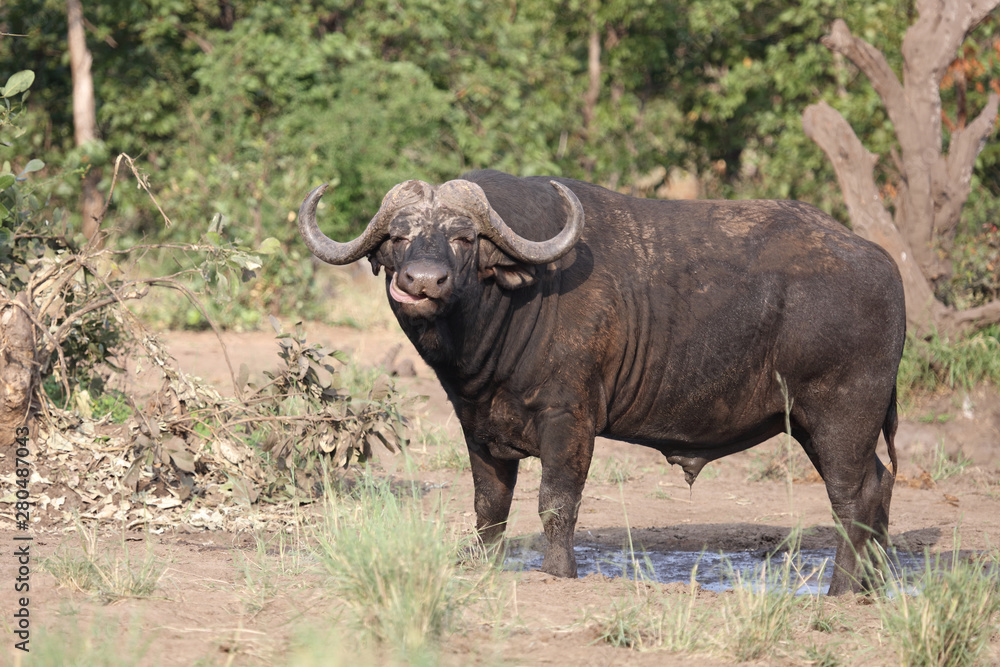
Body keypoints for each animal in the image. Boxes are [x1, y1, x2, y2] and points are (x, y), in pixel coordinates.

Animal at [296, 171, 908, 596]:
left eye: (464, 238)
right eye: (399, 237)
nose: (422, 282)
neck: (511, 307)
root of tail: (884, 266)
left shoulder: (570, 418)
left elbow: (556, 501)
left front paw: (557, 572)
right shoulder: (477, 425)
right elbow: (489, 505)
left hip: (840, 418)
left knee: (852, 497)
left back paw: (840, 590)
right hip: (817, 424)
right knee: (879, 485)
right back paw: (874, 585)